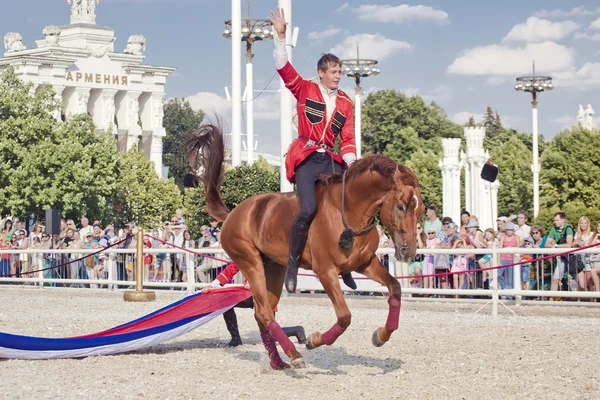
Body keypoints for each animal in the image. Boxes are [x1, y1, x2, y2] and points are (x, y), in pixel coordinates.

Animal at [185, 124, 424, 368]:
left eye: (421, 210)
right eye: (401, 206)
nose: (408, 251)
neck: (348, 211)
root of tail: (233, 213)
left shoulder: (365, 263)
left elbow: (395, 287)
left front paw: (382, 335)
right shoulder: (325, 271)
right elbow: (344, 316)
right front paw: (314, 340)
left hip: (274, 268)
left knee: (264, 314)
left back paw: (278, 362)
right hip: (251, 264)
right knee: (264, 312)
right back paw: (294, 354)